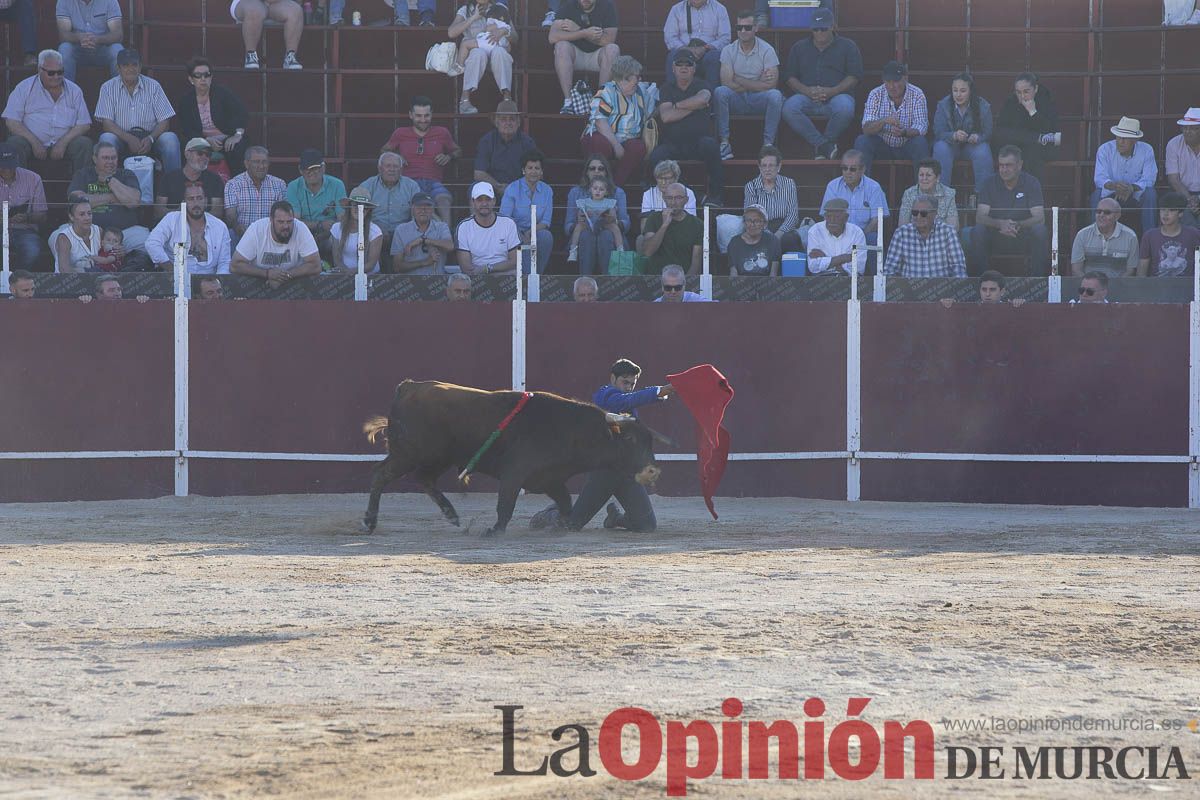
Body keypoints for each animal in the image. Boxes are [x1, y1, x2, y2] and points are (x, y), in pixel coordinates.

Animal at [364, 379, 667, 534]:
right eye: (629, 439)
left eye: (649, 440)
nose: (652, 472)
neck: (569, 428)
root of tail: (409, 386)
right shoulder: (515, 472)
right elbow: (506, 502)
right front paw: (495, 530)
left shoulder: (550, 478)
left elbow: (566, 503)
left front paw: (560, 523)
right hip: (409, 453)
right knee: (380, 475)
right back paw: (369, 521)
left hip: (436, 458)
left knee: (424, 479)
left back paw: (452, 515)